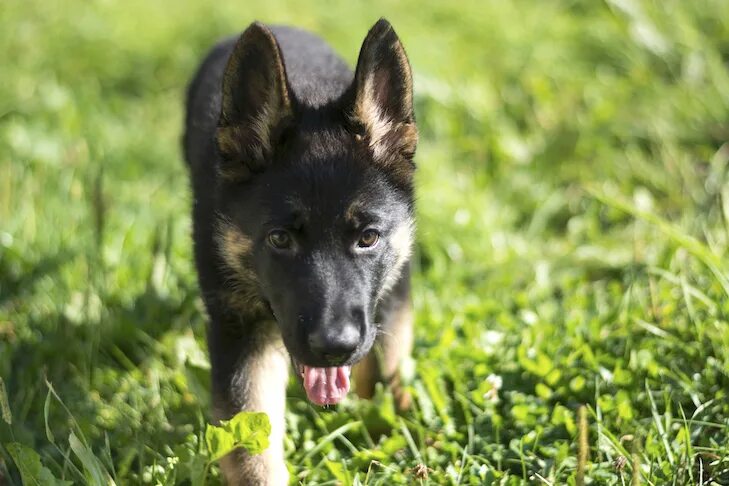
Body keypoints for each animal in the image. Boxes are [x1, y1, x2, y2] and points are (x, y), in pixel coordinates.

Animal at [183, 18, 416, 482]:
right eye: (279, 240)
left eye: (368, 238)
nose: (334, 347)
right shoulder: (240, 330)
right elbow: (248, 442)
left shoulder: (393, 293)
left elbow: (385, 366)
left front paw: (388, 429)